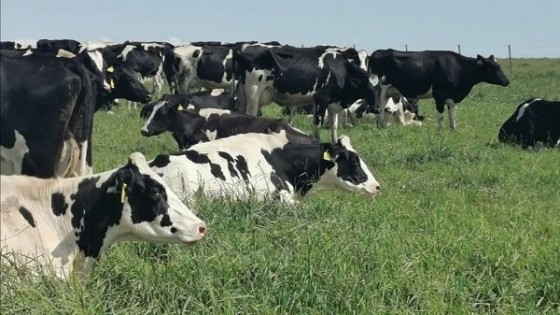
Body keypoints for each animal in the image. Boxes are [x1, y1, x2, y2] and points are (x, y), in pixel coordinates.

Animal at [232, 44, 380, 142]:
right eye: (365, 84)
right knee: (250, 114)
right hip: (253, 92)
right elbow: (318, 124)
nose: (377, 108)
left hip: (243, 95)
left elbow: (334, 127)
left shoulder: (332, 103)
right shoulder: (321, 99)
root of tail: (244, 48)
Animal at [370, 48, 510, 130]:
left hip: (394, 92)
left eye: (499, 66)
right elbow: (441, 116)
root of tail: (380, 51)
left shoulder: (453, 98)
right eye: (493, 67)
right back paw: (381, 124)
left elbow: (453, 116)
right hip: (381, 87)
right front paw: (440, 131)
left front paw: (453, 131)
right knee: (381, 106)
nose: (507, 81)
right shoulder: (439, 95)